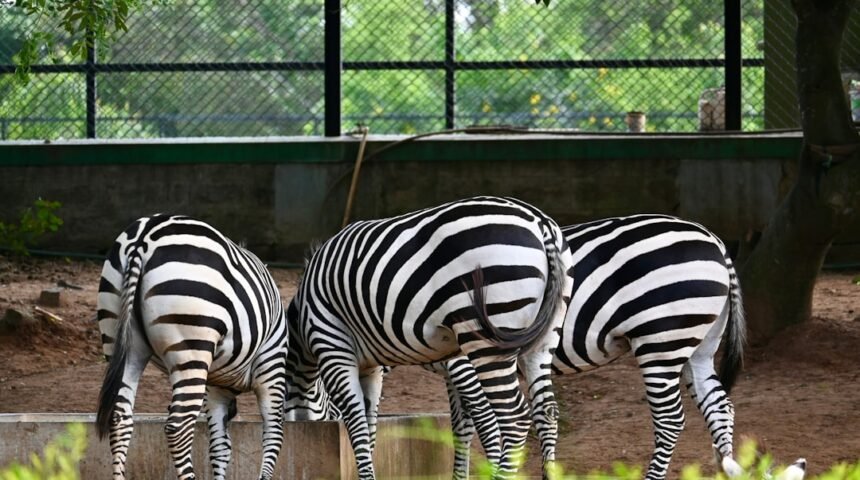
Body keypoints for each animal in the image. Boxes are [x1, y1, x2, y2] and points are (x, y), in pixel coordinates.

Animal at [96, 214, 289, 480]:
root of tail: (145, 235)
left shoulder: (216, 389)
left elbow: (220, 447)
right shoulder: (272, 367)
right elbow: (273, 435)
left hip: (121, 338)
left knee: (119, 418)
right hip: (191, 345)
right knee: (178, 427)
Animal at [284, 196, 573, 479]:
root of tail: (540, 222)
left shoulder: (334, 347)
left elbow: (356, 421)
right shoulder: (372, 367)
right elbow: (374, 424)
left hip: (488, 339)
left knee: (514, 417)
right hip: (542, 340)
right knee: (547, 411)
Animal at [364, 214, 749, 480]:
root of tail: (714, 240)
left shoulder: (463, 363)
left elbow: (484, 425)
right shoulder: (453, 369)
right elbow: (462, 427)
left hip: (662, 338)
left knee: (671, 418)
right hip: (698, 343)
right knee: (720, 406)